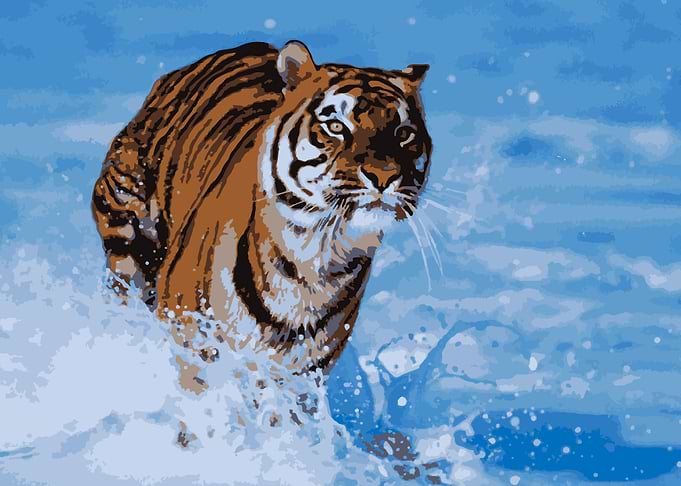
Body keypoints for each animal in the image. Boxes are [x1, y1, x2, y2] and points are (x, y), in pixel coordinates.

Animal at [91, 40, 432, 374]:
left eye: (403, 133)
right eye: (335, 126)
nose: (384, 176)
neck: (316, 260)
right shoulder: (191, 338)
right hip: (127, 239)